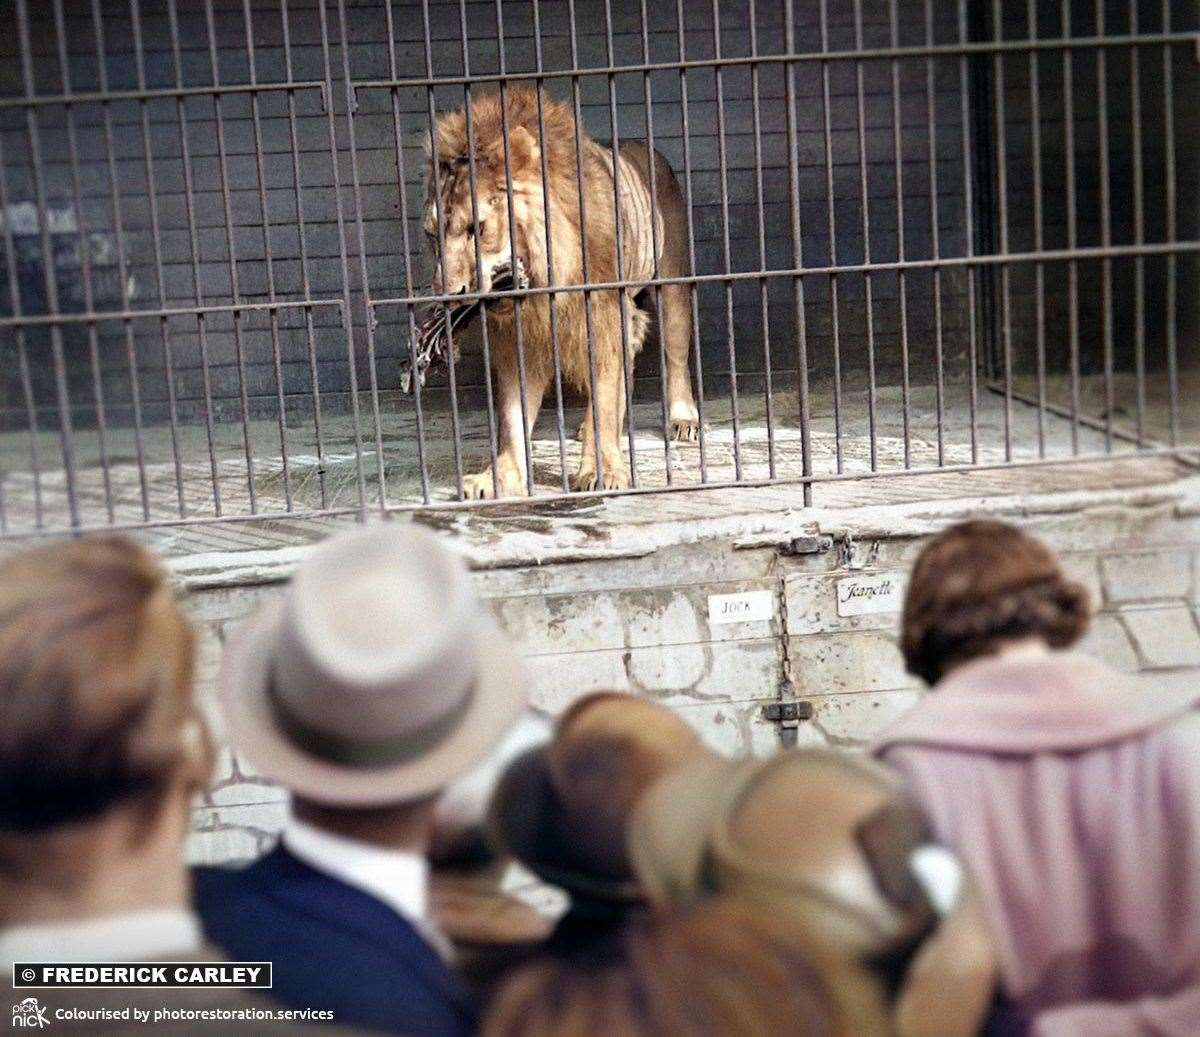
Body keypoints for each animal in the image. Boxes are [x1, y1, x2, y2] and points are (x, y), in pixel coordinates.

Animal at [424, 85, 700, 499]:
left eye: (479, 228)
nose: (447, 296)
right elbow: (513, 417)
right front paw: (497, 478)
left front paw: (602, 471)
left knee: (674, 355)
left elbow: (605, 398)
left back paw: (684, 418)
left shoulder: (604, 318)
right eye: (431, 235)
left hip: (672, 289)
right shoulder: (519, 338)